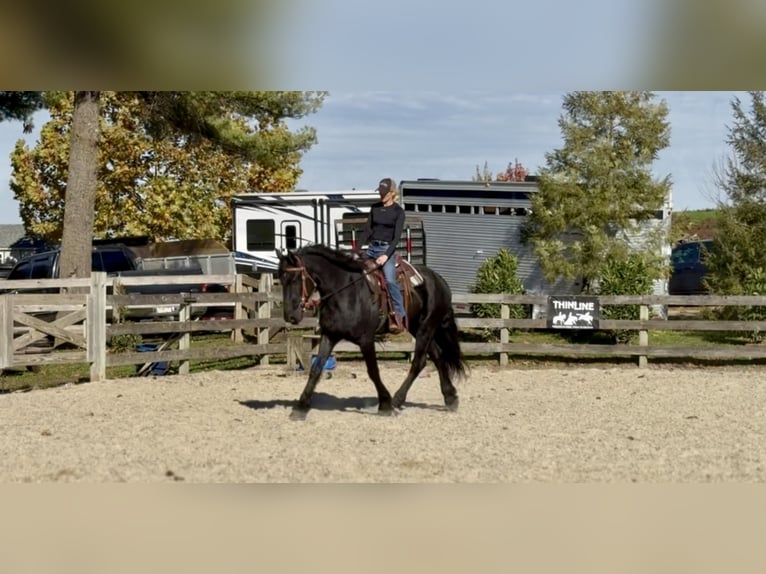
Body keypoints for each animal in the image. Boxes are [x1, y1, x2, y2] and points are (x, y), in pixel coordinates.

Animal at [276, 244, 466, 419]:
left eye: (294, 279)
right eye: (281, 279)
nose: (290, 316)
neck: (345, 291)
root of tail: (439, 280)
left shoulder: (366, 339)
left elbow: (373, 371)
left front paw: (385, 404)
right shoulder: (329, 336)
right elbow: (316, 369)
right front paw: (301, 407)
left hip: (426, 328)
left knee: (419, 362)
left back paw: (397, 399)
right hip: (417, 327)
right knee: (438, 356)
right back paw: (450, 398)